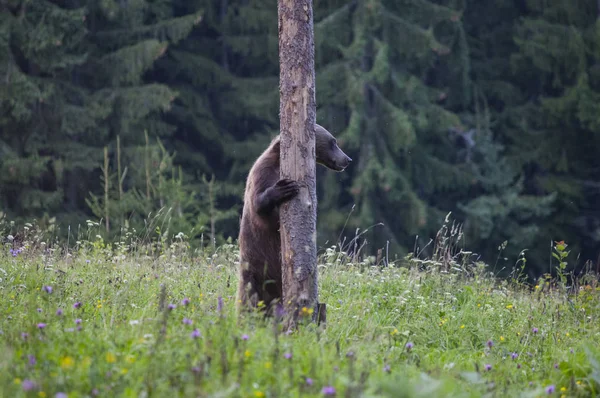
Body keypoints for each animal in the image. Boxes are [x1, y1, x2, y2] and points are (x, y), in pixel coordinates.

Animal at [237, 123, 352, 312]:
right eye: (333, 142)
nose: (347, 159)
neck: (278, 163)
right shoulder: (262, 173)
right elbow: (258, 203)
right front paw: (283, 188)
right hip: (253, 266)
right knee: (248, 297)